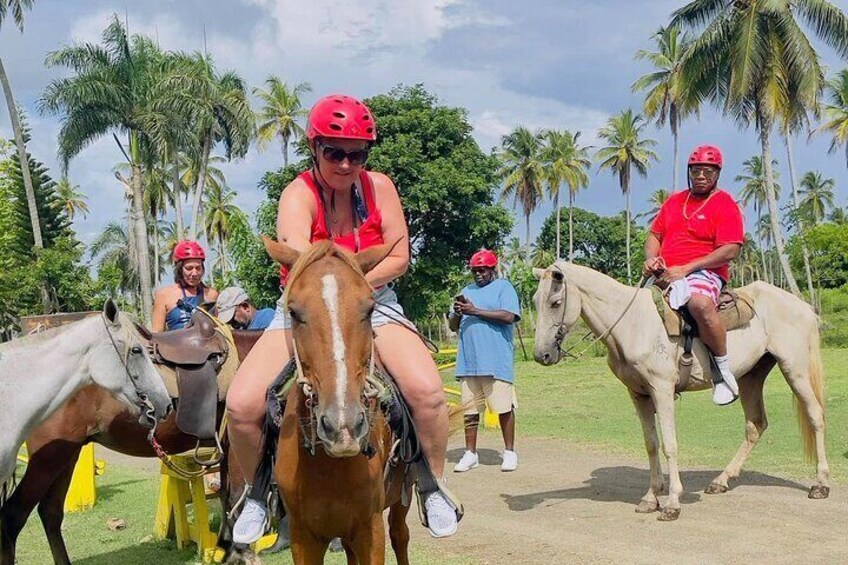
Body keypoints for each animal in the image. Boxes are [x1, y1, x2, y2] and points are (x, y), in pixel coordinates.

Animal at [0, 328, 262, 560]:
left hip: (66, 454)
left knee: (50, 512)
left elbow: (227, 497)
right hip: (49, 459)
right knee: (13, 517)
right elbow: (237, 499)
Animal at [264, 239, 412, 564]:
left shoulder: (370, 532)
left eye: (370, 309)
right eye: (294, 312)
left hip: (399, 501)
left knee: (400, 535)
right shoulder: (304, 538)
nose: (343, 426)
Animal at [532, 262, 832, 524]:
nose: (541, 355)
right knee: (755, 425)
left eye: (555, 302)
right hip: (752, 375)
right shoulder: (638, 394)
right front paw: (651, 497)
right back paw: (721, 481)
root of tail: (804, 306)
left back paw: (820, 484)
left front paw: (672, 503)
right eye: (535, 301)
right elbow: (651, 444)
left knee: (815, 416)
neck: (633, 324)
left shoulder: (662, 389)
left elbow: (670, 445)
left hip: (795, 368)